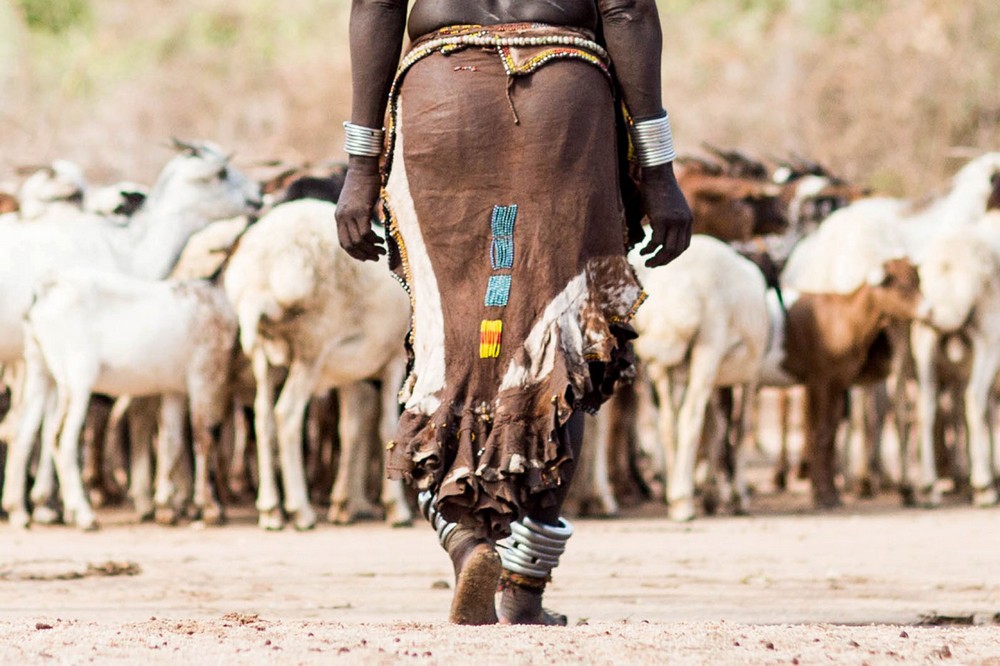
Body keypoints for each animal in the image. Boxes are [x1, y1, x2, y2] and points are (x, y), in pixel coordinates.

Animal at [225, 197, 412, 528]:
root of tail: (260, 272)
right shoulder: (393, 361)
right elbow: (386, 427)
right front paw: (395, 507)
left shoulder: (354, 371)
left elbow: (351, 429)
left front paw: (344, 503)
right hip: (311, 347)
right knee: (286, 415)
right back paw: (300, 509)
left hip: (263, 354)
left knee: (263, 419)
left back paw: (270, 509)